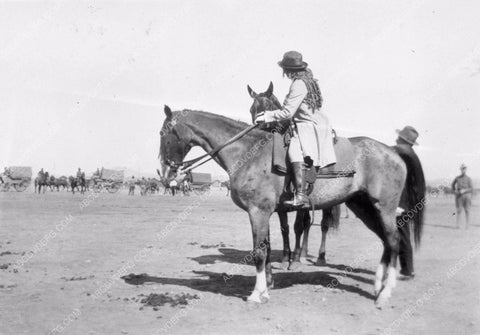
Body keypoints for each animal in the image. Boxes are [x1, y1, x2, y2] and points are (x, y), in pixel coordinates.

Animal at [158, 103, 424, 308]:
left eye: (163, 133)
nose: (166, 173)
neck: (247, 153)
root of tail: (392, 150)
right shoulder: (264, 213)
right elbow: (265, 249)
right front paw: (265, 289)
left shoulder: (259, 212)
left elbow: (259, 252)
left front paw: (256, 294)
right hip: (364, 207)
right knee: (386, 241)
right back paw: (379, 285)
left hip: (384, 208)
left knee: (393, 240)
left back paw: (385, 293)